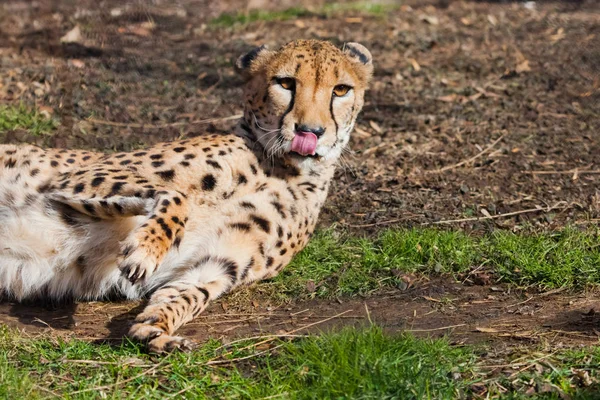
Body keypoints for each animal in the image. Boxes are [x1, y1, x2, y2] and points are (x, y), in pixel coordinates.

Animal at [0, 39, 372, 354]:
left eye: (341, 90)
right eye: (285, 83)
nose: (311, 132)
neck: (282, 169)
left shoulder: (219, 262)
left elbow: (187, 295)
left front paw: (155, 328)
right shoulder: (82, 176)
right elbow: (177, 195)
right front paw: (146, 249)